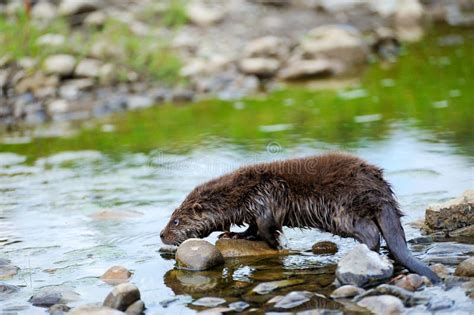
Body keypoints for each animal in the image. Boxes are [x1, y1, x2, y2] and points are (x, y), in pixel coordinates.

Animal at [160, 153, 440, 284]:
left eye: (176, 222)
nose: (162, 234)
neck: (241, 193)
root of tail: (379, 189)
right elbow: (252, 228)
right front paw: (233, 234)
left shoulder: (264, 196)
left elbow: (266, 226)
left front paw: (277, 244)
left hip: (344, 210)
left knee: (371, 234)